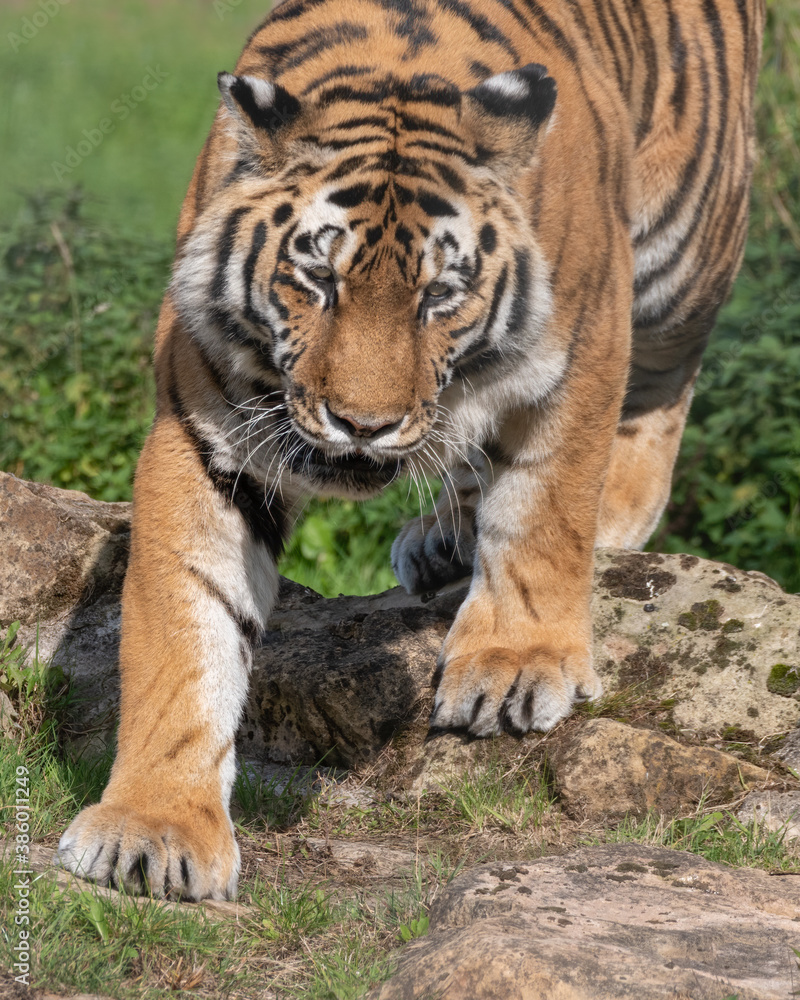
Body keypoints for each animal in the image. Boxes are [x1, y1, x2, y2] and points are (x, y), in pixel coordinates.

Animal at [56, 0, 764, 900]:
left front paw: (515, 665)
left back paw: (604, 517)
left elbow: (544, 507)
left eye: (439, 295)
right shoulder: (206, 429)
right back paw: (444, 540)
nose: (363, 423)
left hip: (689, 246)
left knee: (664, 386)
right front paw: (152, 829)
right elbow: (185, 626)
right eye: (318, 280)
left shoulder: (584, 346)